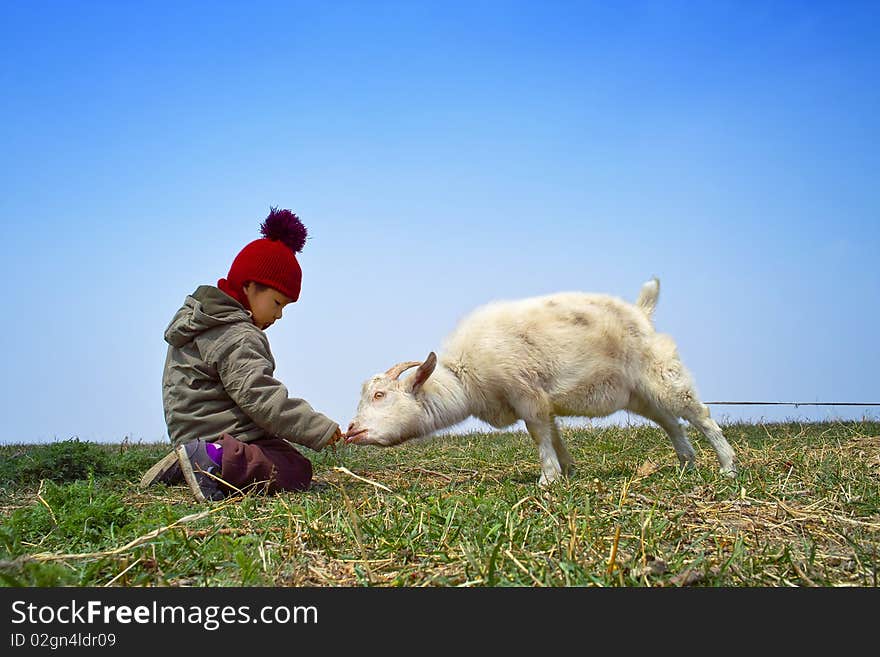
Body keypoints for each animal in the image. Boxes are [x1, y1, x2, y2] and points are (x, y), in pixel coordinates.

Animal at [348, 278, 740, 486]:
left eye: (380, 394)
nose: (351, 430)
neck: (466, 376)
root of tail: (642, 313)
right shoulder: (542, 400)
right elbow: (554, 432)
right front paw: (568, 470)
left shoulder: (526, 392)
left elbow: (539, 432)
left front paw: (548, 478)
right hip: (639, 393)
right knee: (670, 421)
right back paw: (686, 463)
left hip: (662, 372)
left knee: (699, 414)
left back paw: (728, 466)